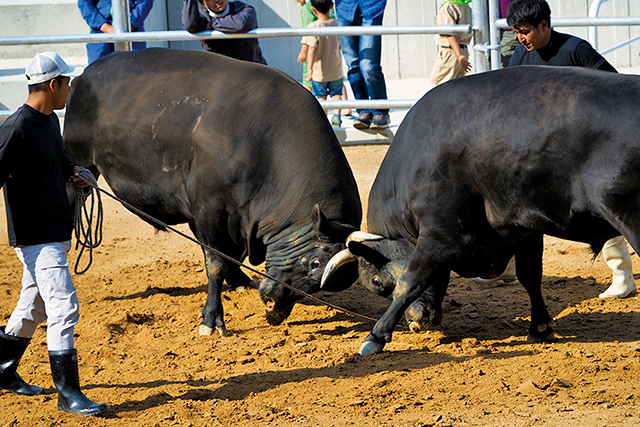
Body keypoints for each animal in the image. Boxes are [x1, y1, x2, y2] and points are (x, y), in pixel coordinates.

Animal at [66, 48, 364, 338]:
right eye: (315, 262)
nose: (274, 302)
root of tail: (85, 74)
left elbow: (224, 257)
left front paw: (242, 284)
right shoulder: (210, 209)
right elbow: (216, 263)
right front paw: (211, 318)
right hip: (78, 164)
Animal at [322, 65, 640, 356]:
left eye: (376, 282)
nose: (418, 322)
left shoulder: (438, 233)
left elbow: (410, 281)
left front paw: (375, 336)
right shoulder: (524, 230)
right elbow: (530, 276)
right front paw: (540, 327)